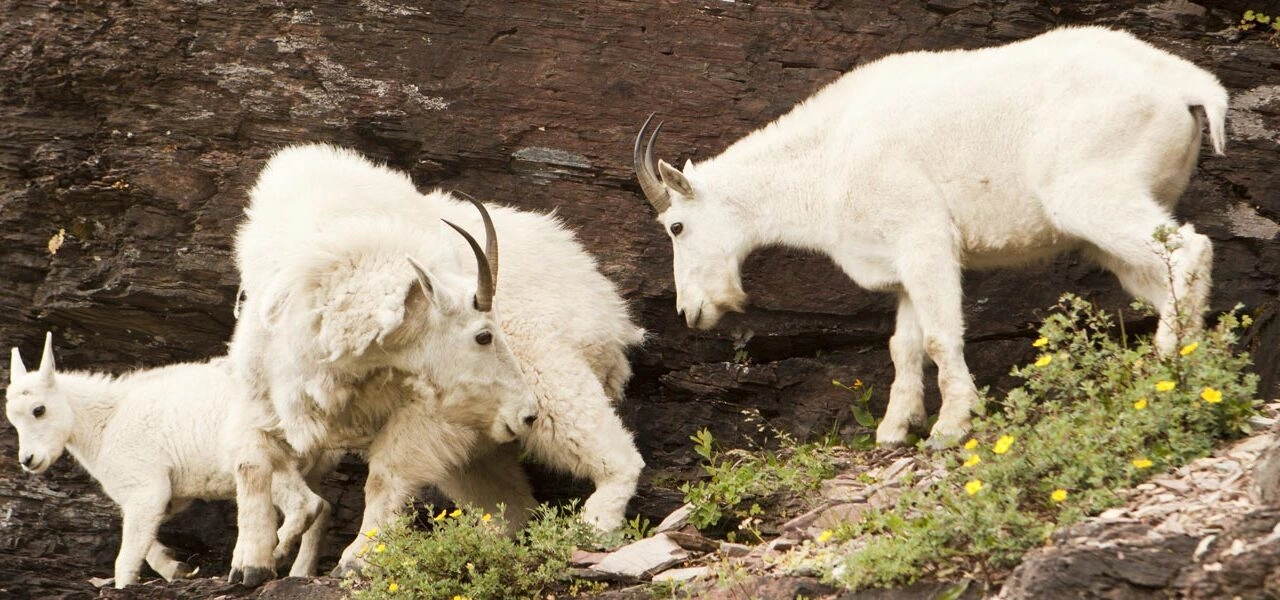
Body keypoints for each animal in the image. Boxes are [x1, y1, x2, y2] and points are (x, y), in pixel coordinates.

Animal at [4, 334, 333, 588]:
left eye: (39, 409)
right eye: (12, 418)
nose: (29, 459)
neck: (105, 423)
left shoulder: (145, 485)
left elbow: (127, 556)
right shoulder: (169, 495)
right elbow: (146, 538)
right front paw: (176, 568)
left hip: (262, 451)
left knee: (305, 503)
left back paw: (268, 556)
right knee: (322, 506)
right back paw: (299, 568)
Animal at [633, 26, 1226, 448]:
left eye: (676, 226)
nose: (690, 311)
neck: (827, 161)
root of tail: (1187, 85)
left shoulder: (926, 238)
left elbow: (941, 337)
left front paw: (950, 428)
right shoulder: (901, 266)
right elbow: (903, 345)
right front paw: (895, 429)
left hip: (1092, 194)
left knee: (1190, 247)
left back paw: (1170, 355)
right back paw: (1193, 359)